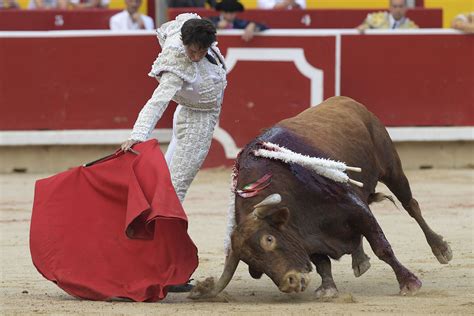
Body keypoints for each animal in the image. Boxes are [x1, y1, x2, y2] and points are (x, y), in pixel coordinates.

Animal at [189, 95, 452, 298]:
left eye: (269, 239)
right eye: (252, 264)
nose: (290, 282)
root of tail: (348, 101)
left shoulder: (355, 207)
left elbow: (382, 248)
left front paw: (409, 283)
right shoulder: (305, 233)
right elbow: (322, 261)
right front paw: (328, 289)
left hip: (391, 167)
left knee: (411, 205)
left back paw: (441, 249)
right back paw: (359, 259)